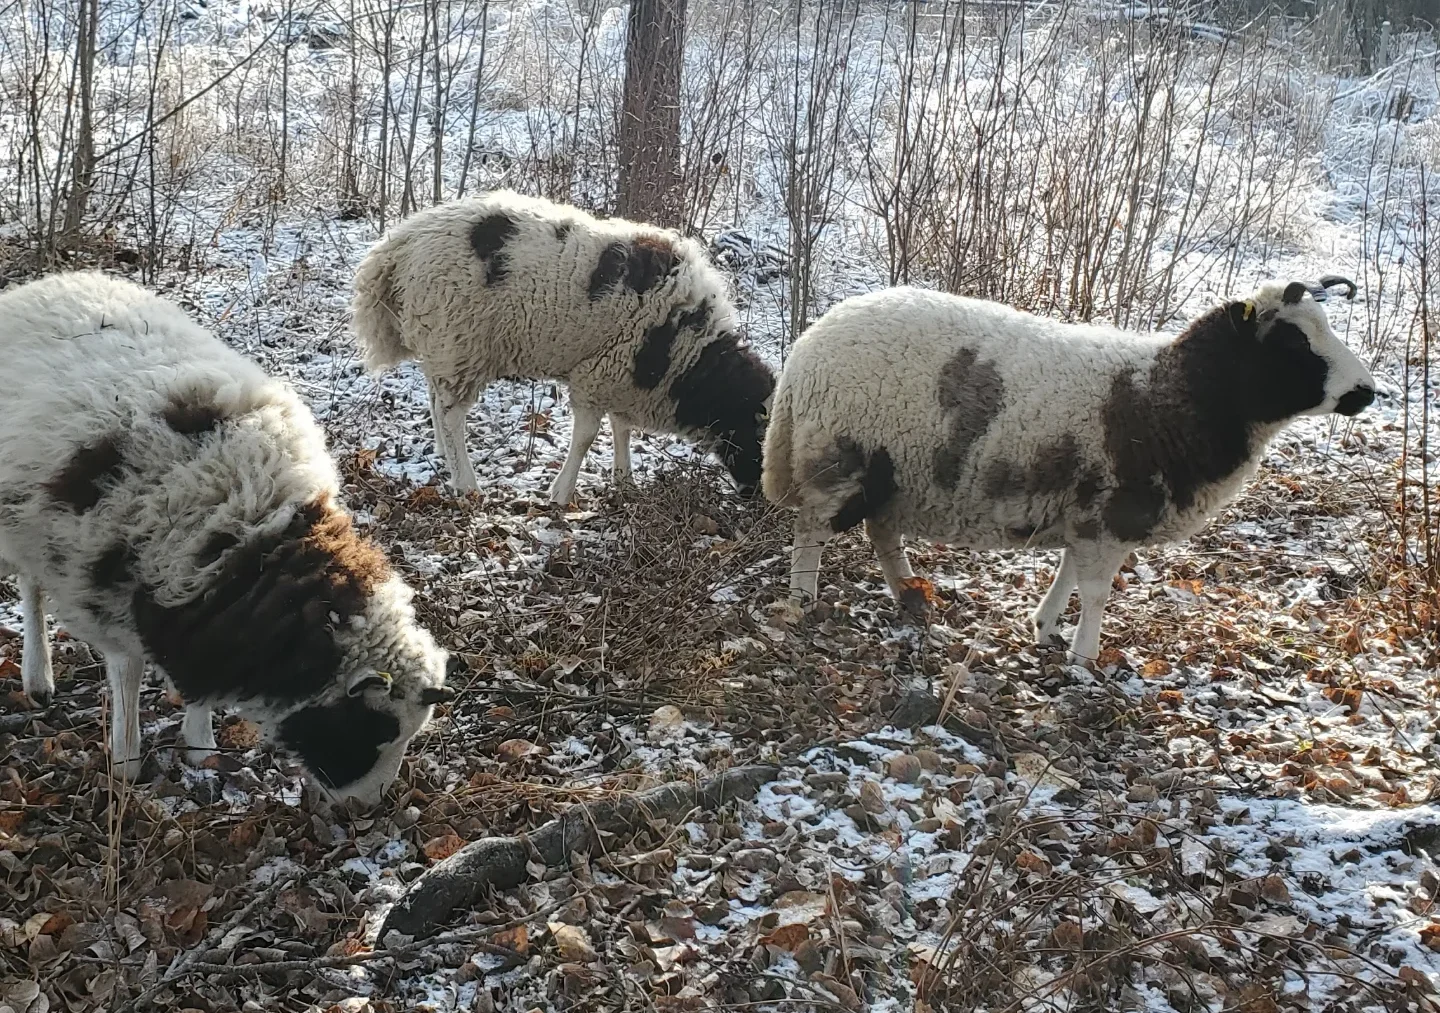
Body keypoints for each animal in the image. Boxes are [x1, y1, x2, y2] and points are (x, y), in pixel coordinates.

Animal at [0, 271, 455, 804]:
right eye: (374, 728)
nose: (367, 808)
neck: (253, 542)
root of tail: (48, 282)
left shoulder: (196, 601)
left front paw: (201, 747)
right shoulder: (113, 596)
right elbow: (127, 676)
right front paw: (127, 763)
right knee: (30, 588)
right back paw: (37, 676)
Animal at [350, 190, 776, 504]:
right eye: (759, 438)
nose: (755, 497)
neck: (689, 357)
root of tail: (401, 243)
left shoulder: (622, 374)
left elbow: (621, 428)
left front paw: (624, 479)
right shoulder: (600, 372)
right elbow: (587, 436)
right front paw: (561, 492)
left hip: (442, 342)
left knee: (436, 397)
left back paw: (444, 454)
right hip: (460, 341)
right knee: (452, 413)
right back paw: (467, 483)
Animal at [762, 278, 1377, 664]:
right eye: (1295, 343)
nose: (1368, 392)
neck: (1173, 396)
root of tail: (807, 347)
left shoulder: (1086, 513)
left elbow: (1068, 573)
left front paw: (1046, 627)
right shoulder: (1109, 516)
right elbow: (1098, 591)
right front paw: (1085, 658)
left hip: (891, 471)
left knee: (882, 531)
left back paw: (910, 593)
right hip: (839, 457)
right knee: (811, 533)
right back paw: (804, 597)